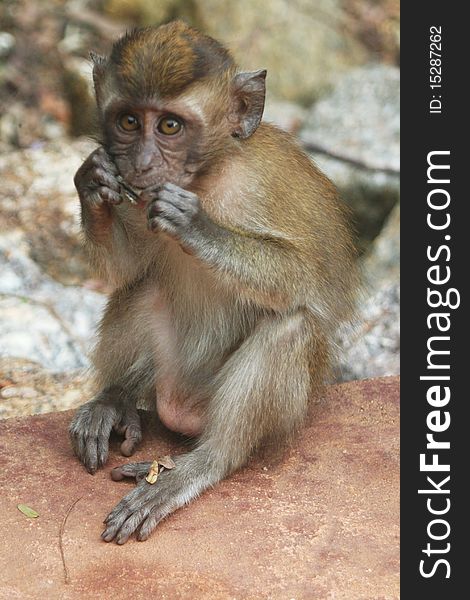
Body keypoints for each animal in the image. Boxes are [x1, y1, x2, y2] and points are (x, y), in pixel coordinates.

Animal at [69, 21, 356, 544]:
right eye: (128, 122)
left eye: (169, 126)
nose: (141, 163)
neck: (206, 176)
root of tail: (182, 407)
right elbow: (127, 267)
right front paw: (92, 181)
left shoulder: (261, 185)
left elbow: (308, 280)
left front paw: (196, 226)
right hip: (170, 372)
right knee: (143, 288)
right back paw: (117, 397)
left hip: (263, 407)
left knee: (290, 327)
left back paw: (199, 465)